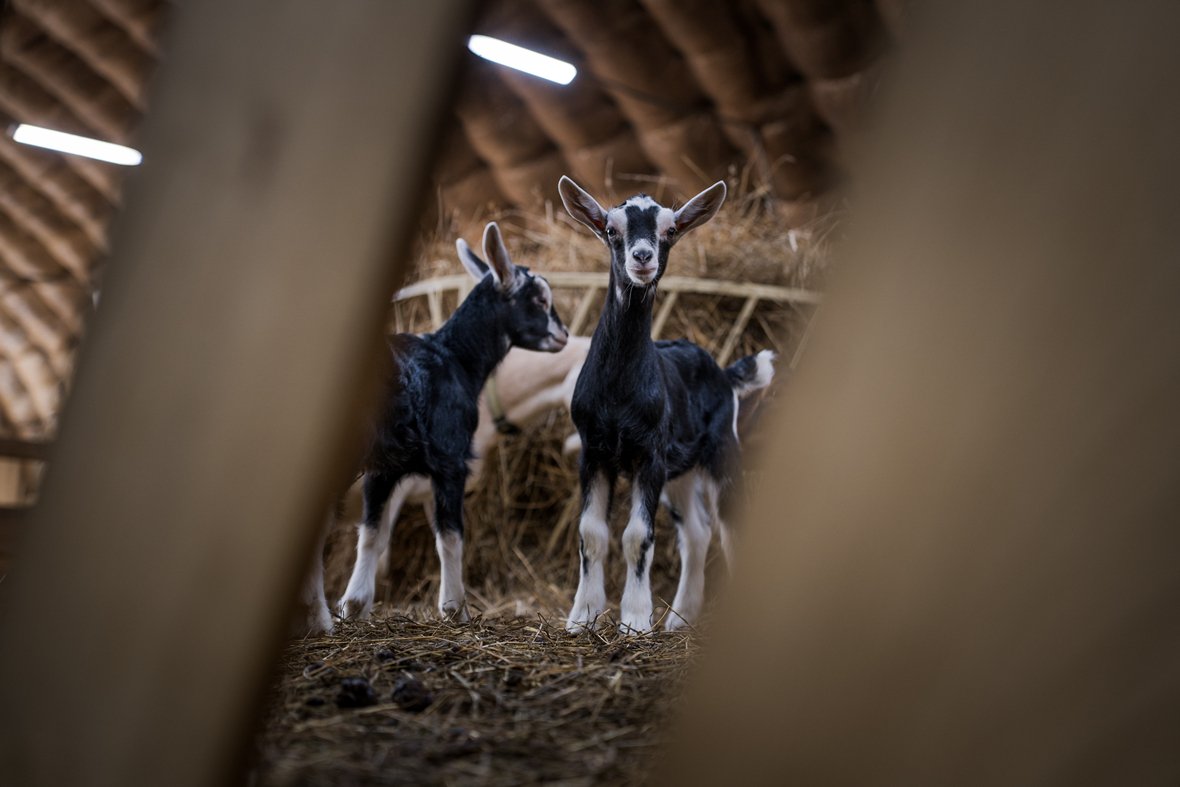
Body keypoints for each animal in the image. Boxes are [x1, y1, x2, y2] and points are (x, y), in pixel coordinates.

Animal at [314, 222, 568, 631]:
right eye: (540, 299)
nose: (562, 336)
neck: (455, 359)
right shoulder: (451, 458)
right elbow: (450, 537)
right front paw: (455, 608)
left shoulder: (384, 469)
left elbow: (372, 535)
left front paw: (354, 605)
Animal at [557, 176, 775, 633]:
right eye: (611, 230)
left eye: (670, 231)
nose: (642, 257)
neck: (619, 390)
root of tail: (724, 373)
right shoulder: (594, 451)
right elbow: (592, 532)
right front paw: (582, 617)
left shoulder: (649, 454)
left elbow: (637, 536)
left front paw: (635, 620)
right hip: (681, 472)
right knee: (696, 532)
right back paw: (681, 619)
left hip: (721, 451)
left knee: (731, 527)